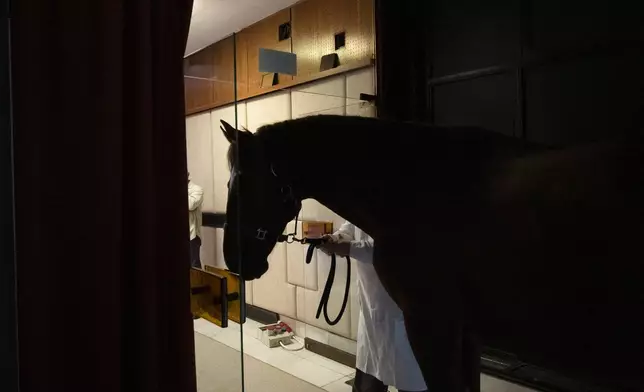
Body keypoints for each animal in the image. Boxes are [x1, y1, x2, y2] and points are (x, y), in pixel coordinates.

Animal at [218, 115, 644, 390]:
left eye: (248, 183)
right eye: (229, 181)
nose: (235, 260)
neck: (417, 188)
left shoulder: (431, 323)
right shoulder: (467, 330)